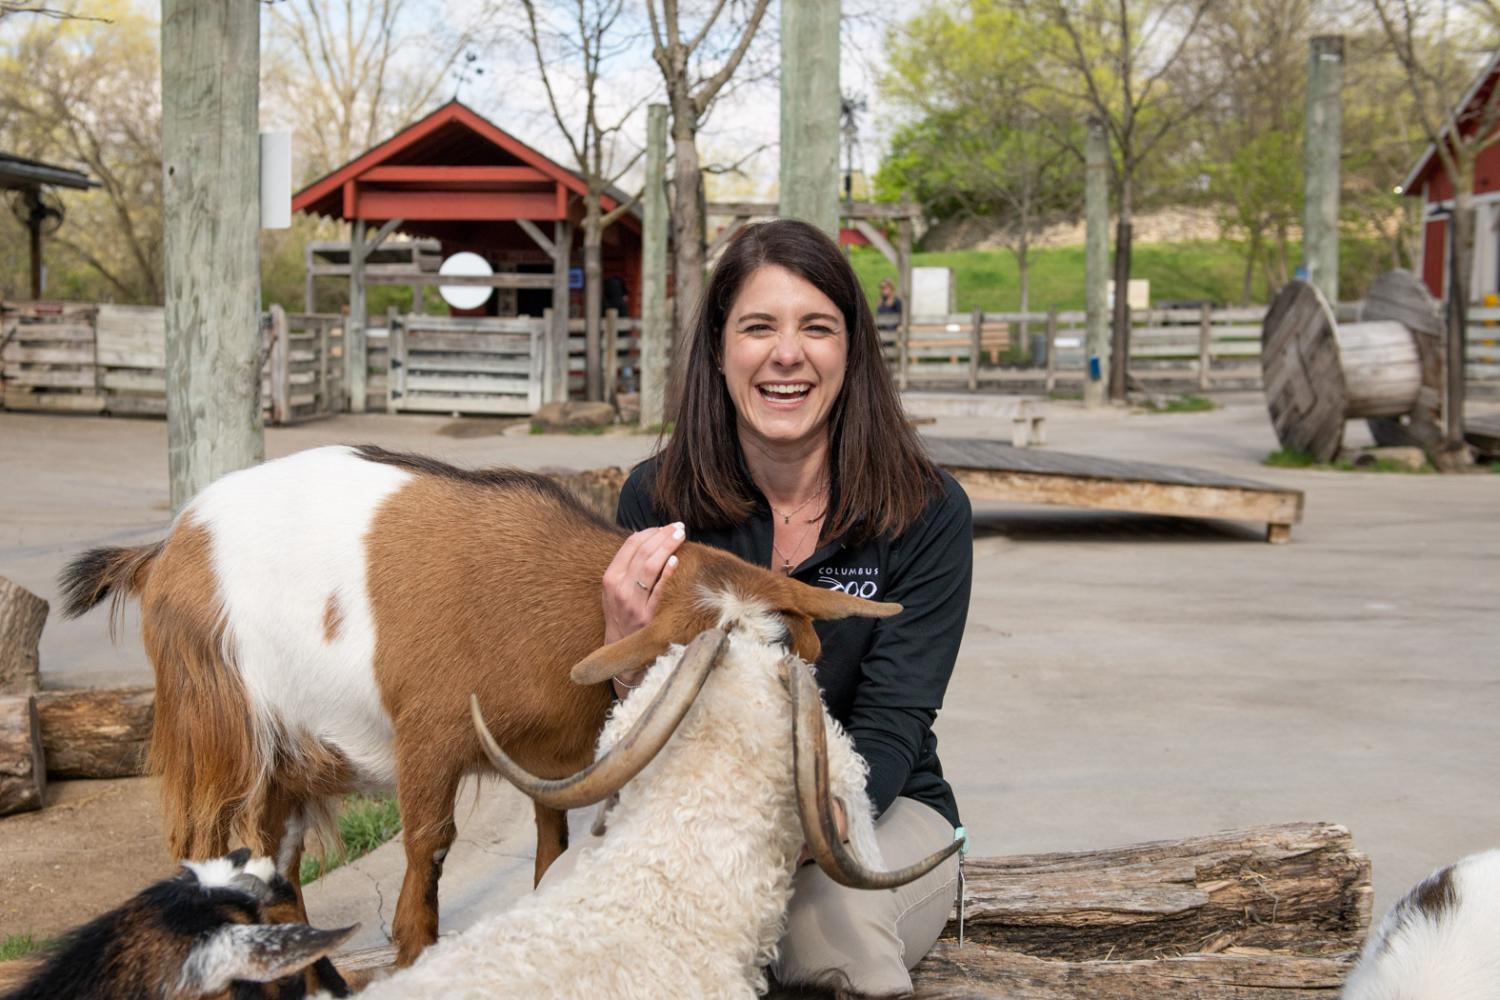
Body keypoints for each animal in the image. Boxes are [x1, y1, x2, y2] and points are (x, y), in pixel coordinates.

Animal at [61, 443, 888, 959]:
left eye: (784, 649)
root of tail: (165, 550)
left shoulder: (552, 759)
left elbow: (551, 847)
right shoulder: (426, 743)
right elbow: (425, 866)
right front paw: (411, 958)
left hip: (288, 762)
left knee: (278, 870)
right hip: (219, 729)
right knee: (208, 849)